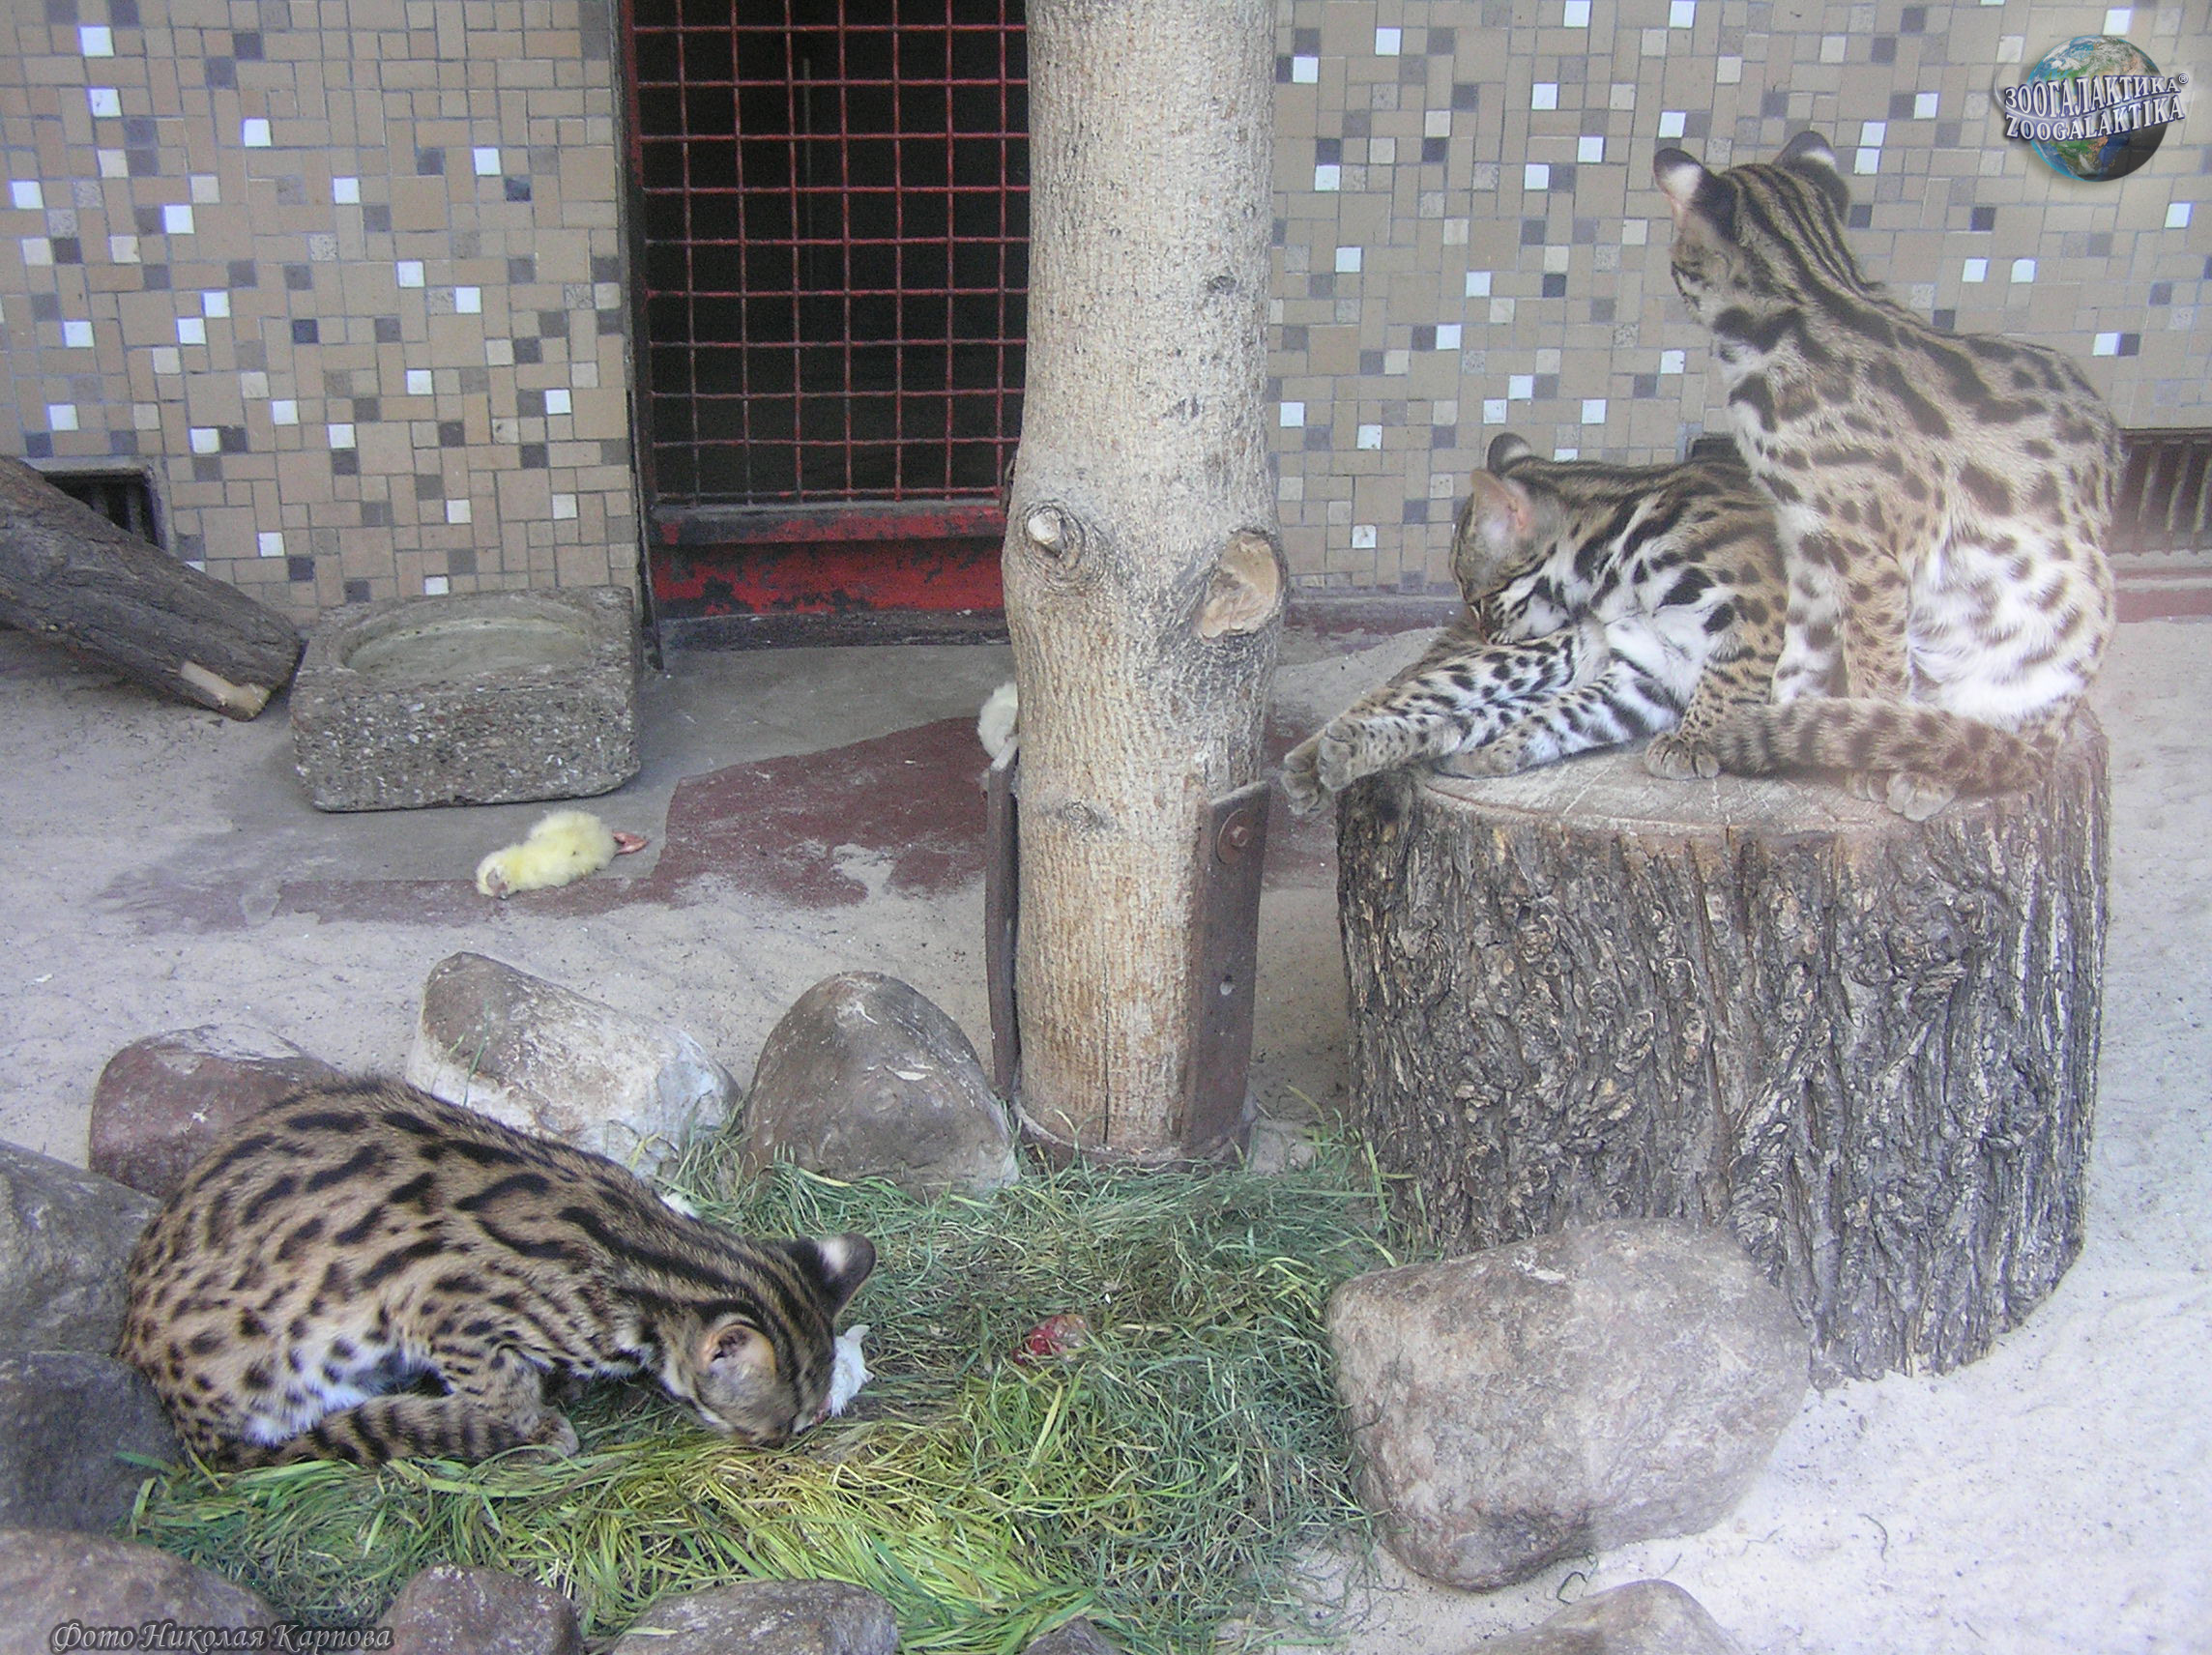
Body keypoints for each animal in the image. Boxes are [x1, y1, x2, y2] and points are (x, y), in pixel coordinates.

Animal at [118, 1078, 874, 1467]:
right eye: (775, 1430)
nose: (781, 1450)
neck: (651, 1254)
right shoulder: (439, 1309)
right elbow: (502, 1388)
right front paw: (533, 1424)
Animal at [1280, 432, 1785, 813]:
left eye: (1479, 599)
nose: (1481, 633)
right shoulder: (1644, 671)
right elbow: (1564, 718)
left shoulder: (1759, 606)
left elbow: (1733, 672)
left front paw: (1694, 740)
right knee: (1427, 698)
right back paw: (1326, 755)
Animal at [1653, 131, 2119, 818]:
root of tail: (2053, 745)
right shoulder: (1806, 541)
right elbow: (1800, 648)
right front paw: (1788, 723)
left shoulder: (1869, 556)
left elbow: (1874, 663)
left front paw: (1858, 746)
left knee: (1998, 741)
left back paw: (1932, 763)